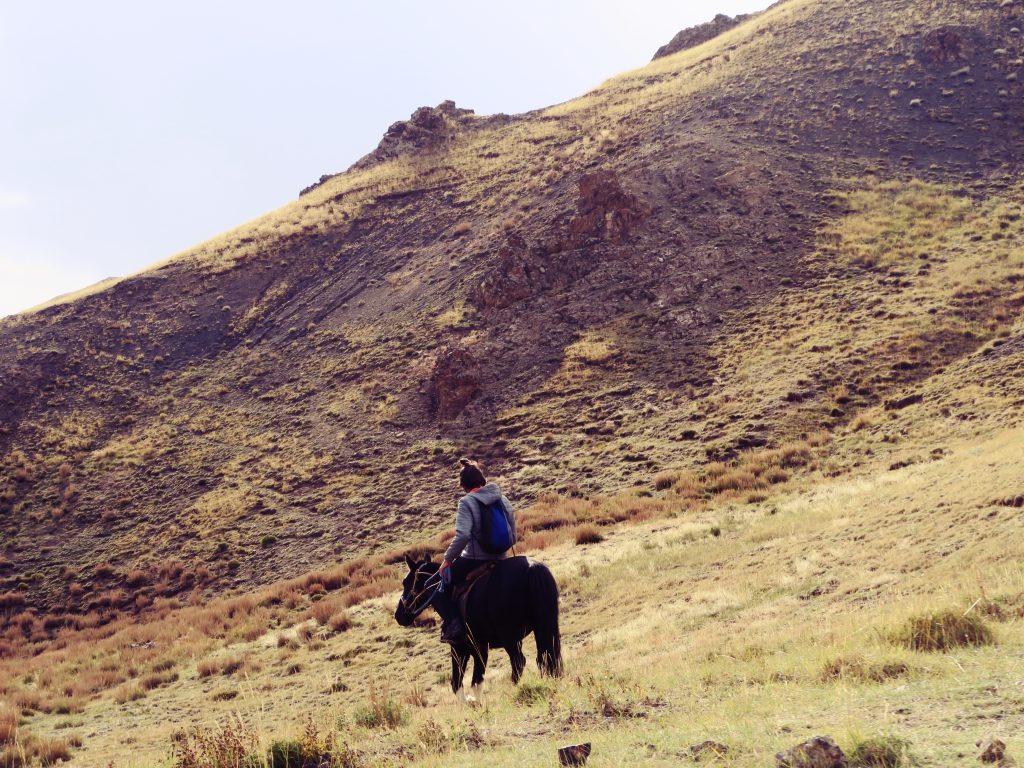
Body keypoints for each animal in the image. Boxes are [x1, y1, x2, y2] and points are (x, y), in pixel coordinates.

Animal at [395, 557, 565, 700]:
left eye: (405, 582)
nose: (398, 615)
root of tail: (532, 568)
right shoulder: (480, 649)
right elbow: (476, 681)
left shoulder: (459, 648)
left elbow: (457, 683)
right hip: (541, 628)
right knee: (546, 657)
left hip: (509, 637)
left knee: (519, 662)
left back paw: (513, 690)